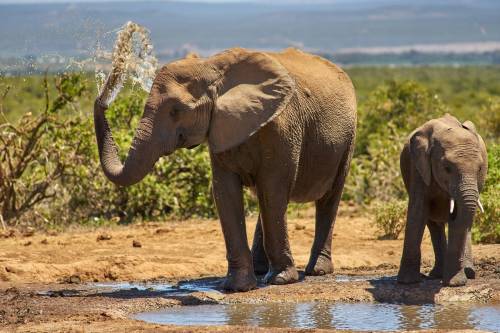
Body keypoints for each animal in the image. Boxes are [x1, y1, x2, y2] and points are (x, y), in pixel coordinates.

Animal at [94, 47, 358, 290]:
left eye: (176, 110)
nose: (103, 98)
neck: (212, 66)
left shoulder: (282, 128)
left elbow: (273, 190)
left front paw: (281, 280)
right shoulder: (219, 127)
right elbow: (225, 192)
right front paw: (236, 287)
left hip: (347, 139)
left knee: (327, 198)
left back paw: (317, 271)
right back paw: (261, 270)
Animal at [398, 113, 488, 286]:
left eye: (480, 168)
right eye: (447, 168)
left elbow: (458, 218)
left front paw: (455, 283)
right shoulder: (418, 167)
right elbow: (418, 212)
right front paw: (407, 282)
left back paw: (468, 272)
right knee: (434, 224)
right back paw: (437, 274)